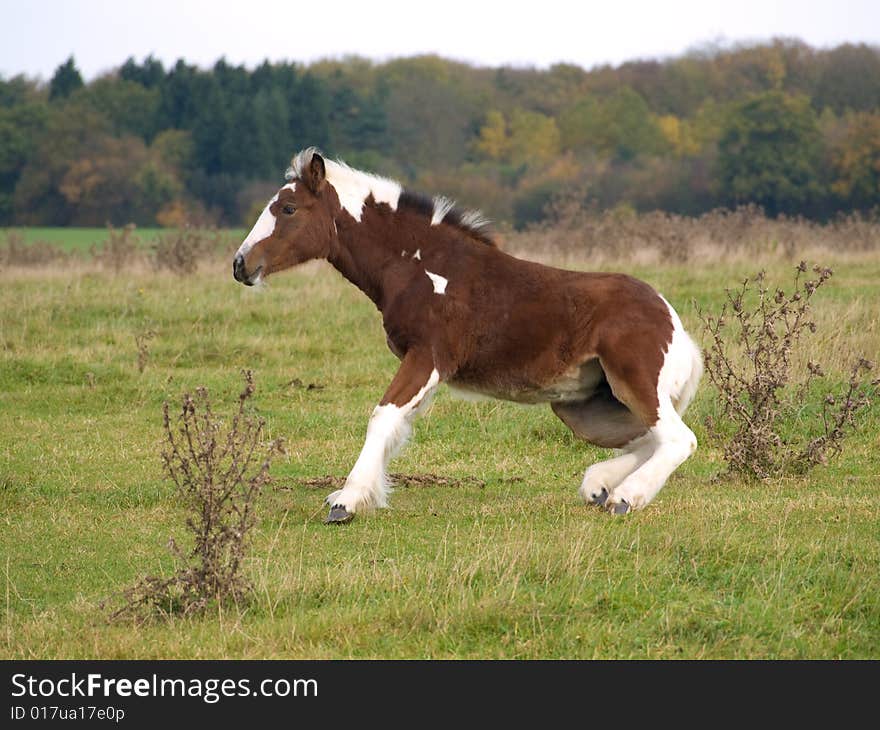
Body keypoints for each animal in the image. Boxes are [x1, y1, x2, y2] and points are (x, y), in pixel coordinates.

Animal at [232, 149, 700, 524]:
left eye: (288, 208)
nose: (240, 264)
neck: (422, 266)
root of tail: (677, 328)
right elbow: (397, 424)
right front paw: (362, 494)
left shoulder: (428, 357)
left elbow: (383, 416)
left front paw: (346, 502)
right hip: (583, 408)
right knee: (650, 437)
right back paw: (597, 486)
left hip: (633, 381)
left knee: (680, 438)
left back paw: (625, 497)